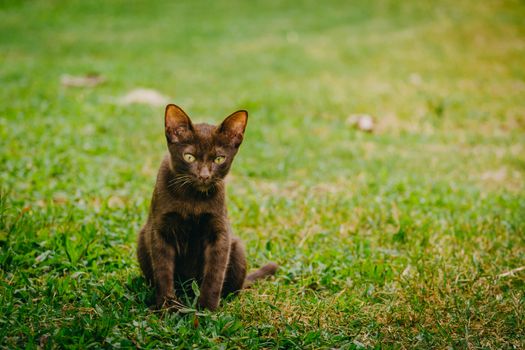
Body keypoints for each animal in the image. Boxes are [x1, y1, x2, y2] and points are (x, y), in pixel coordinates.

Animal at [137, 104, 278, 312]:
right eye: (189, 157)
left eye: (219, 159)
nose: (204, 175)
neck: (193, 198)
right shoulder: (160, 230)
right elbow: (163, 270)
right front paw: (168, 307)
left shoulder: (220, 232)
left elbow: (215, 273)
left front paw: (206, 310)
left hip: (237, 248)